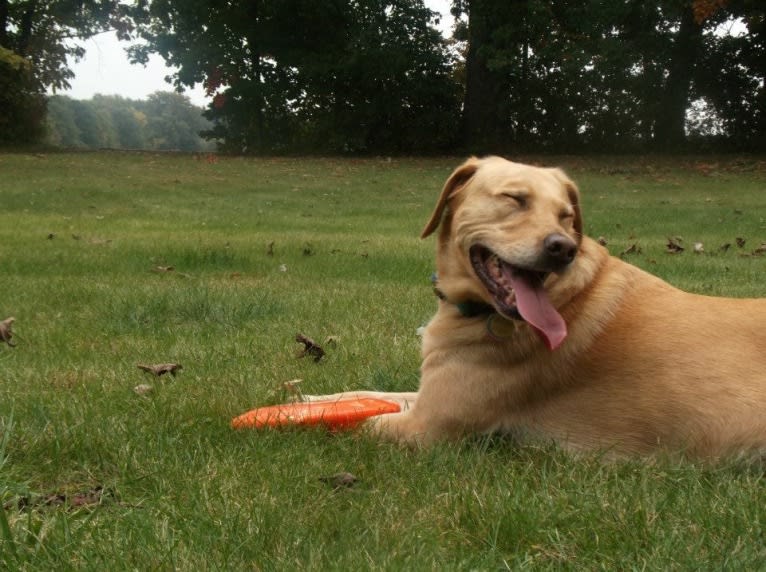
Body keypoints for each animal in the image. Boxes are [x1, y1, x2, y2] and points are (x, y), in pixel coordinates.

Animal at [310, 156, 766, 460]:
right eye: (514, 198)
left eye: (566, 216)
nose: (563, 248)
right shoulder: (427, 395)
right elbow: (363, 394)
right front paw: (312, 396)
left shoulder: (428, 425)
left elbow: (352, 426)